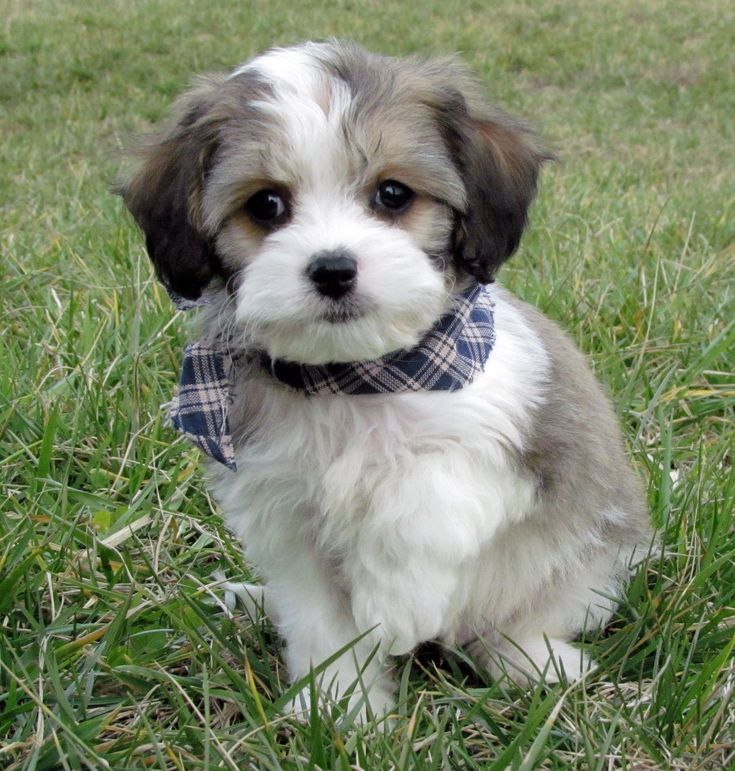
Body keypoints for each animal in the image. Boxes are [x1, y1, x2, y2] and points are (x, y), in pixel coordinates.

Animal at [121, 40, 648, 716]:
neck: (354, 378)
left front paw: (397, 606)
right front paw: (341, 709)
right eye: (266, 205)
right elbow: (323, 622)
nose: (332, 269)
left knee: (505, 625)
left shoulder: (497, 435)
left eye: (393, 194)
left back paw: (536, 664)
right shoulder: (284, 516)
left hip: (586, 566)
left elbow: (418, 498)